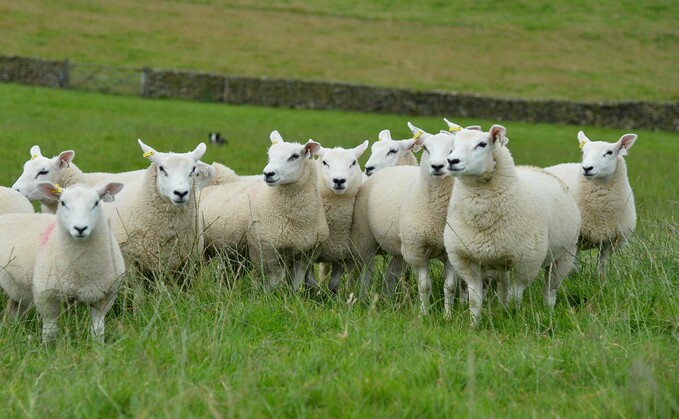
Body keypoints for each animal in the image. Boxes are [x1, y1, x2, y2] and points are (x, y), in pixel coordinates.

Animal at [314, 141, 370, 292]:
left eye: (353, 162)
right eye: (324, 162)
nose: (339, 180)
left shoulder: (343, 252)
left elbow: (338, 281)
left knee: (352, 274)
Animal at [444, 126, 580, 326]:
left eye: (482, 144)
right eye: (453, 145)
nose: (452, 161)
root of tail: (538, 169)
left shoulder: (526, 262)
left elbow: (516, 296)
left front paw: (514, 319)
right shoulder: (465, 259)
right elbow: (475, 299)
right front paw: (474, 325)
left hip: (565, 253)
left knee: (551, 287)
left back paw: (548, 309)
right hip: (499, 261)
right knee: (503, 287)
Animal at [544, 131, 640, 280]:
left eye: (609, 152)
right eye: (583, 152)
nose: (587, 168)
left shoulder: (609, 240)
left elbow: (602, 263)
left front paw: (601, 279)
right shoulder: (577, 238)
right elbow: (574, 264)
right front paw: (574, 279)